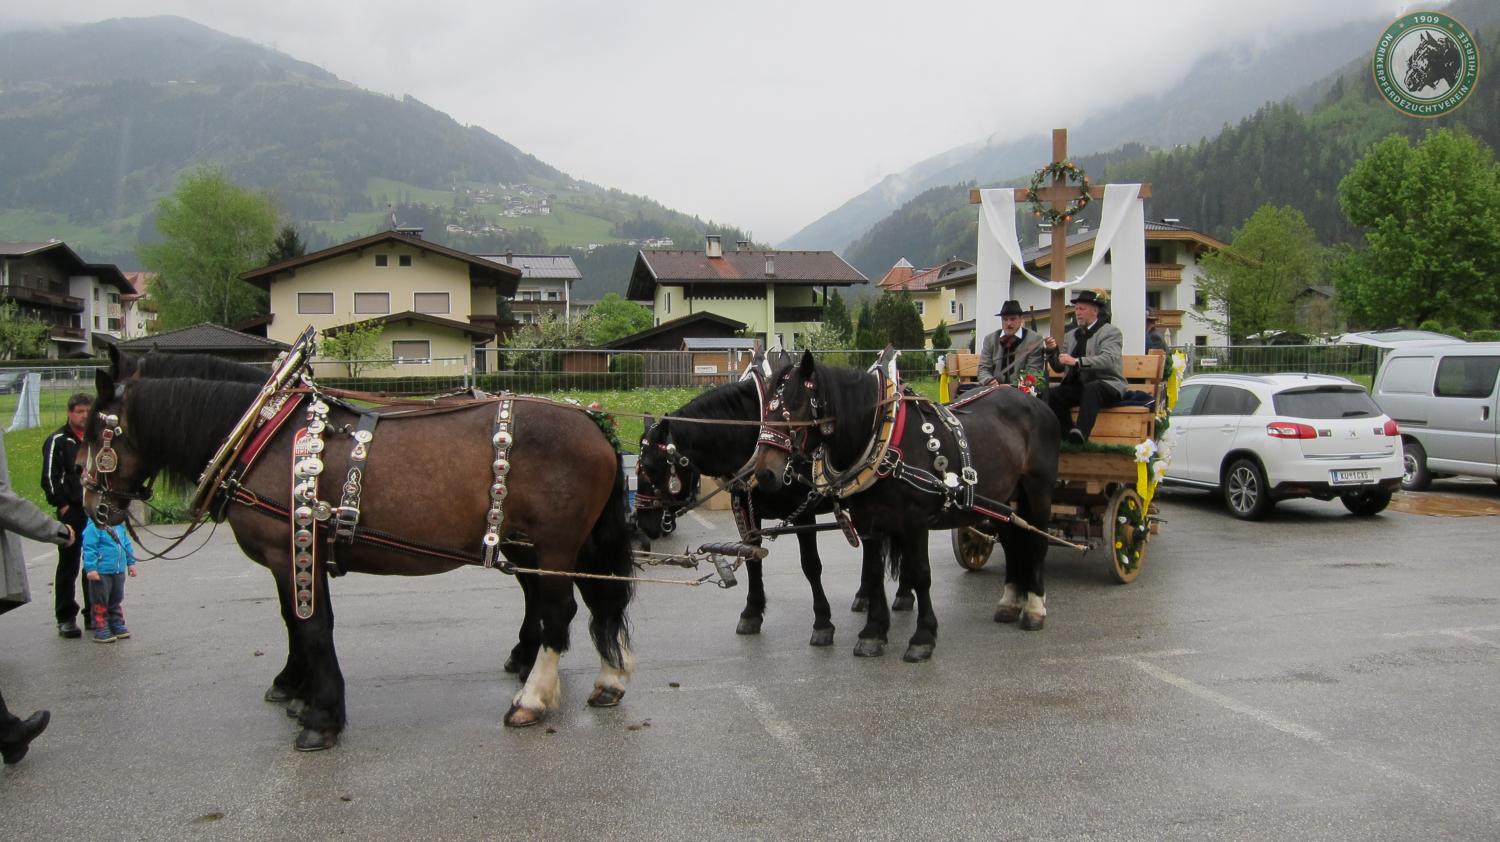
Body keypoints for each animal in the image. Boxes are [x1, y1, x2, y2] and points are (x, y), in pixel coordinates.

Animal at [79, 357, 636, 749]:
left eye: (97, 434)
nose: (92, 505)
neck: (261, 432)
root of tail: (595, 424)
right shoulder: (294, 554)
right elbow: (294, 620)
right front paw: (296, 689)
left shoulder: (291, 547)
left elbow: (311, 626)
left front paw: (321, 716)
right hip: (559, 546)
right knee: (594, 602)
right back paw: (608, 679)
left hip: (555, 545)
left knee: (558, 612)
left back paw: (533, 698)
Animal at [633, 371, 912, 648]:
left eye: (650, 468)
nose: (643, 523)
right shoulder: (748, 512)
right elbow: (752, 559)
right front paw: (752, 613)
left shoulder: (804, 514)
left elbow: (811, 565)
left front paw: (822, 622)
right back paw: (868, 596)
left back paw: (902, 595)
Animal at [751, 350, 1060, 661]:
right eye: (766, 409)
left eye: (795, 406)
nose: (764, 474)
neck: (884, 441)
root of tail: (1031, 398)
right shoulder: (867, 522)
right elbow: (874, 572)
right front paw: (873, 633)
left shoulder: (915, 521)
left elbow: (920, 573)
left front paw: (923, 637)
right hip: (1004, 498)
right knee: (1011, 541)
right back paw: (1010, 602)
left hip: (1038, 490)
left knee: (1037, 542)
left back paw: (1034, 607)